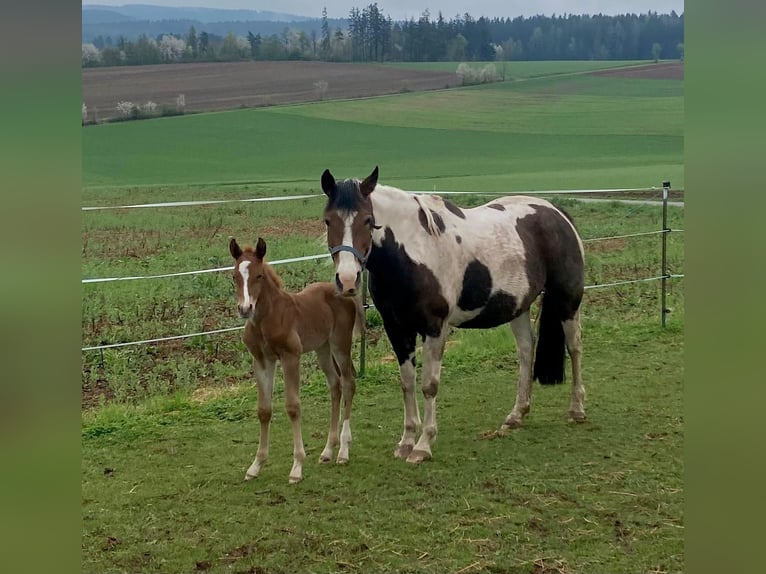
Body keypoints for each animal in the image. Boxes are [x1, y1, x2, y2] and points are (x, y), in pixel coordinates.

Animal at [229, 236, 364, 483]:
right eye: (234, 276)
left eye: (259, 275)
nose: (245, 308)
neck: (267, 319)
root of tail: (345, 292)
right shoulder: (262, 361)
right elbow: (264, 410)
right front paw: (256, 465)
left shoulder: (290, 357)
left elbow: (293, 406)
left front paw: (297, 467)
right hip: (322, 348)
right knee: (335, 385)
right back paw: (327, 450)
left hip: (340, 344)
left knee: (349, 383)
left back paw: (343, 451)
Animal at [320, 166, 586, 464]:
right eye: (328, 221)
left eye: (368, 220)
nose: (347, 279)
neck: (414, 252)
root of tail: (557, 213)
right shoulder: (397, 328)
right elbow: (407, 382)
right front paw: (406, 441)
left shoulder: (435, 328)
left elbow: (429, 385)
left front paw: (423, 445)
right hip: (519, 307)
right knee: (527, 351)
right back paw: (516, 415)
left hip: (568, 301)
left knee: (574, 347)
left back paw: (577, 410)